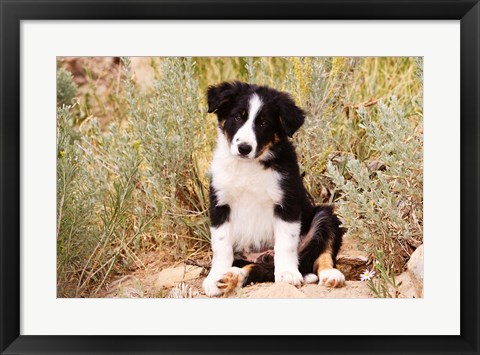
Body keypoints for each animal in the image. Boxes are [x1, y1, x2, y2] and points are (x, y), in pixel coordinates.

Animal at [202, 81, 344, 298]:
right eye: (237, 117)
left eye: (263, 123)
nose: (244, 148)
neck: (249, 167)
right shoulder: (220, 203)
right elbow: (221, 245)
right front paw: (214, 277)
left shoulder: (287, 201)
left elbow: (286, 243)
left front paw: (287, 273)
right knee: (256, 269)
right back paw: (231, 277)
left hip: (324, 215)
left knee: (322, 252)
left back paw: (331, 275)